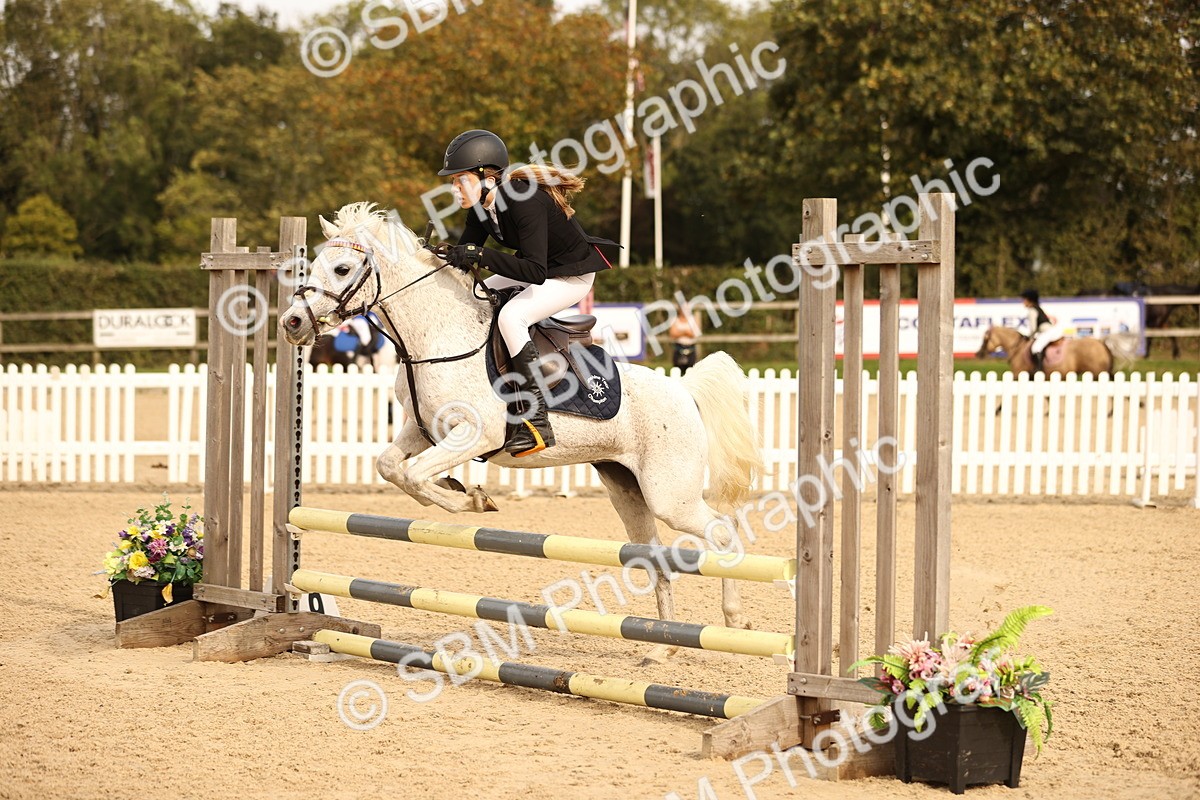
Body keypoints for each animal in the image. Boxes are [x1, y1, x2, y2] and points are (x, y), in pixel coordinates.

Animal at [279, 203, 762, 662]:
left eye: (343, 269)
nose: (292, 323)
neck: (436, 337)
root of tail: (684, 389)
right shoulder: (421, 430)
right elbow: (391, 467)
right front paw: (459, 490)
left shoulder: (475, 434)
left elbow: (415, 475)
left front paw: (473, 500)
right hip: (628, 491)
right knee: (657, 558)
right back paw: (662, 647)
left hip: (670, 495)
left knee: (723, 532)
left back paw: (734, 620)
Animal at [976, 325, 1114, 376]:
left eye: (985, 339)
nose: (978, 354)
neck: (1018, 348)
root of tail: (1100, 342)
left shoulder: (1018, 373)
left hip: (1097, 373)